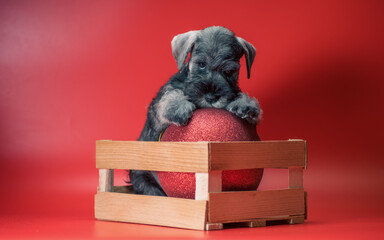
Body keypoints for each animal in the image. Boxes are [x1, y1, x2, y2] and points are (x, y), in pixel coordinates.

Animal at [130, 25, 262, 196]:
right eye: (201, 64)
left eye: (229, 71)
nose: (211, 97)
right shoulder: (157, 116)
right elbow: (170, 95)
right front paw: (178, 107)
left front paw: (246, 105)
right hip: (143, 178)